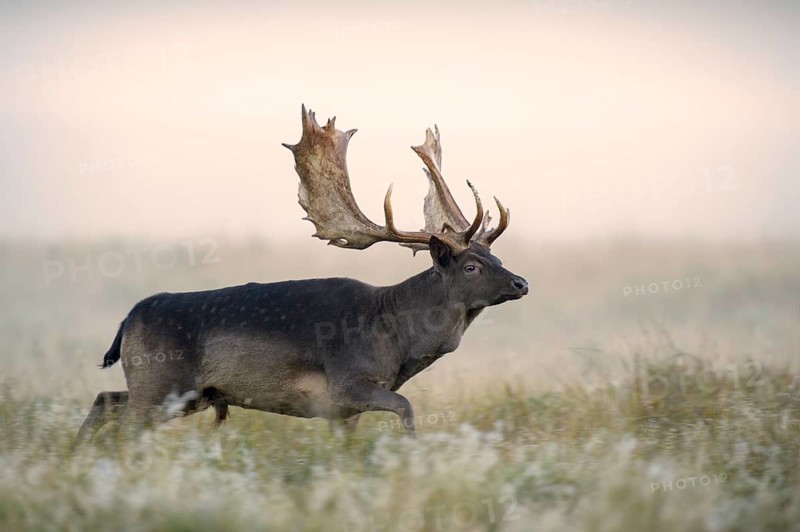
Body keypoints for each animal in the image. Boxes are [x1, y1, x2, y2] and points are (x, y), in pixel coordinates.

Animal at [77, 105, 529, 440]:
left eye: (495, 257)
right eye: (471, 266)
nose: (521, 282)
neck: (396, 342)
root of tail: (126, 321)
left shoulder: (345, 413)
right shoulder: (347, 383)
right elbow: (408, 409)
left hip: (182, 394)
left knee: (104, 399)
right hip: (160, 384)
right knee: (122, 420)